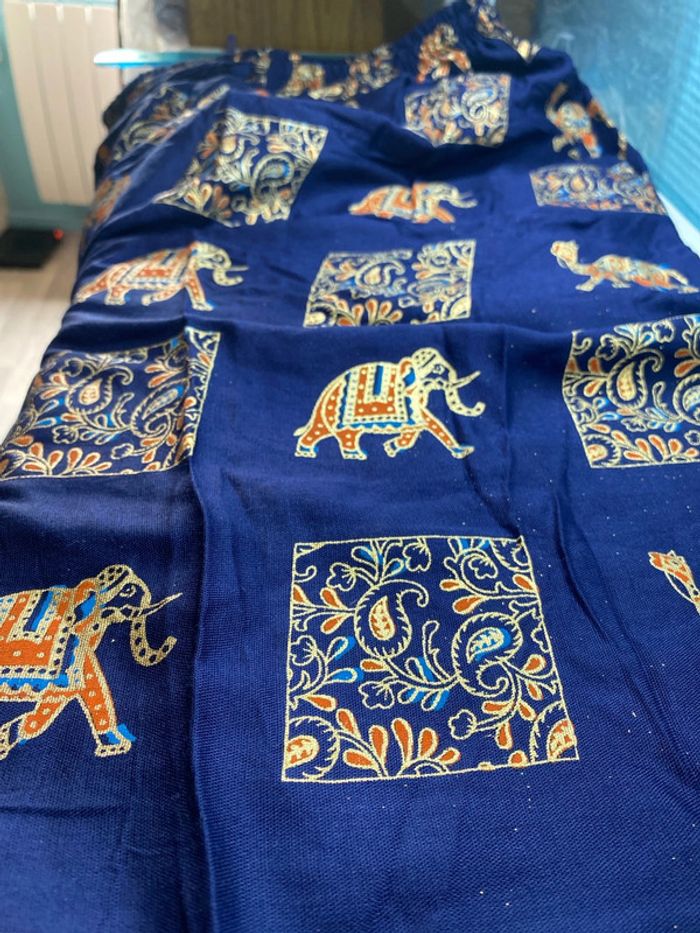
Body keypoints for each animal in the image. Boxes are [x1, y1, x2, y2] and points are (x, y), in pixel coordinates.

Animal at [74, 241, 246, 311]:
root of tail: (111, 269)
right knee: (115, 289)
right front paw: (205, 308)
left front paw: (148, 300)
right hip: (122, 279)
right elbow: (188, 287)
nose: (240, 278)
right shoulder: (186, 271)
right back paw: (114, 303)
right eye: (218, 259)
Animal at [294, 347, 485, 460]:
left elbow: (418, 426)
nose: (480, 405)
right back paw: (356, 455)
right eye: (438, 370)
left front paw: (390, 448)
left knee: (321, 429)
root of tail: (327, 391)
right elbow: (426, 422)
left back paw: (307, 452)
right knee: (346, 435)